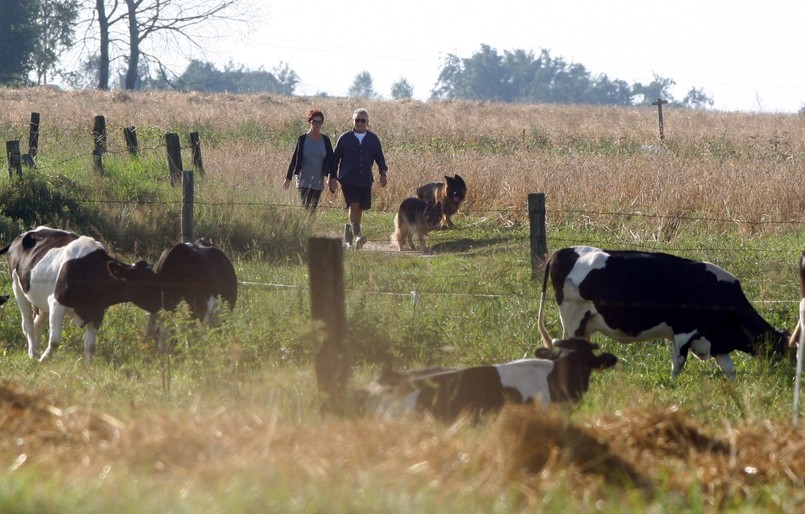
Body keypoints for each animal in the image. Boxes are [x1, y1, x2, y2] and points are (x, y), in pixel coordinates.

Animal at [0, 224, 163, 360]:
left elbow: (90, 346)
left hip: (40, 300)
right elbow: (55, 340)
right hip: (17, 288)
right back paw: (34, 355)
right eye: (146, 283)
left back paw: (35, 350)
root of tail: (19, 238)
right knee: (27, 324)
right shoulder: (56, 302)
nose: (161, 303)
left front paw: (89, 366)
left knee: (37, 323)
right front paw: (43, 360)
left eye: (156, 279)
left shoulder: (98, 310)